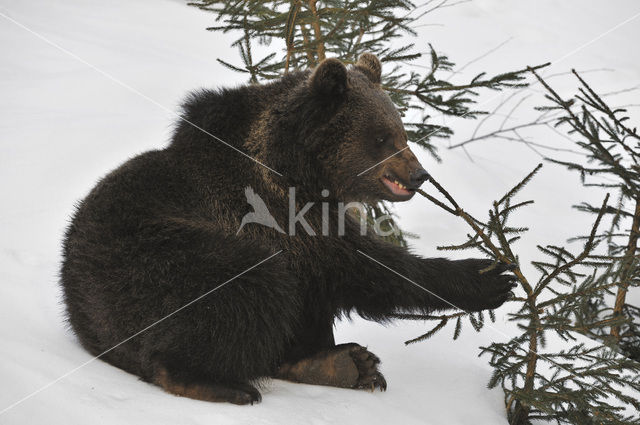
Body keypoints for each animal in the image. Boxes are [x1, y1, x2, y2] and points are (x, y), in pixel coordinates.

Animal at [61, 53, 516, 404]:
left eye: (401, 131)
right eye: (381, 137)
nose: (419, 174)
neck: (303, 172)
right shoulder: (276, 216)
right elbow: (366, 268)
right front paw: (489, 276)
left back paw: (350, 365)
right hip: (158, 263)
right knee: (248, 289)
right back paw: (223, 385)